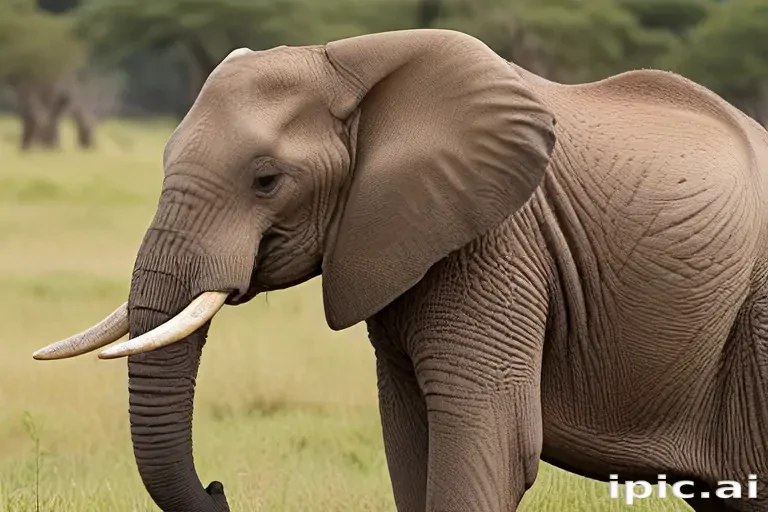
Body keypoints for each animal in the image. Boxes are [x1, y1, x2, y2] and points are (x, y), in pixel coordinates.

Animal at [33, 28, 768, 512]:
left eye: (267, 180)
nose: (219, 490)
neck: (351, 65)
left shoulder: (499, 241)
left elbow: (493, 439)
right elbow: (408, 433)